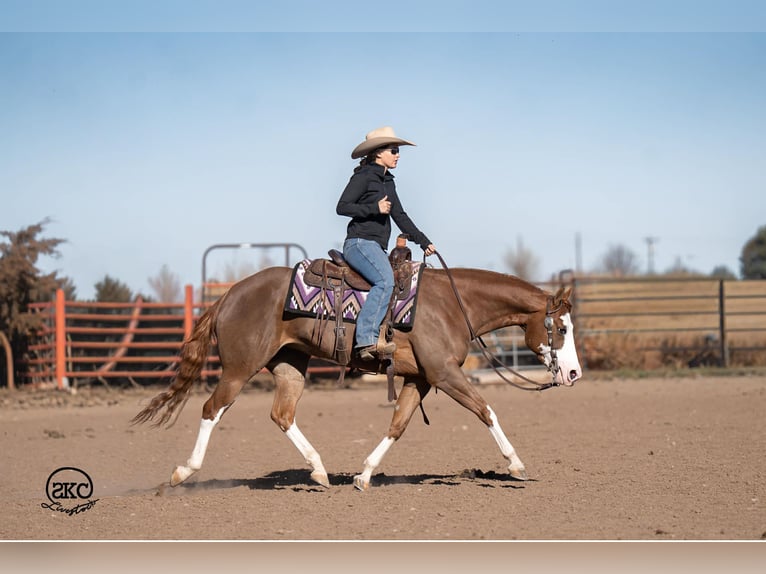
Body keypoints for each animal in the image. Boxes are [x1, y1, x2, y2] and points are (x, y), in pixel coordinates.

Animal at [132, 261, 583, 490]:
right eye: (560, 328)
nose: (574, 373)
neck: (453, 304)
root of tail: (228, 295)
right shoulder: (444, 373)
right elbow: (486, 411)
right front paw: (516, 465)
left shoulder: (420, 379)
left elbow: (397, 425)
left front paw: (364, 475)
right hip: (239, 369)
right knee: (212, 408)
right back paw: (183, 472)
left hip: (290, 365)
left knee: (282, 414)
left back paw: (318, 471)